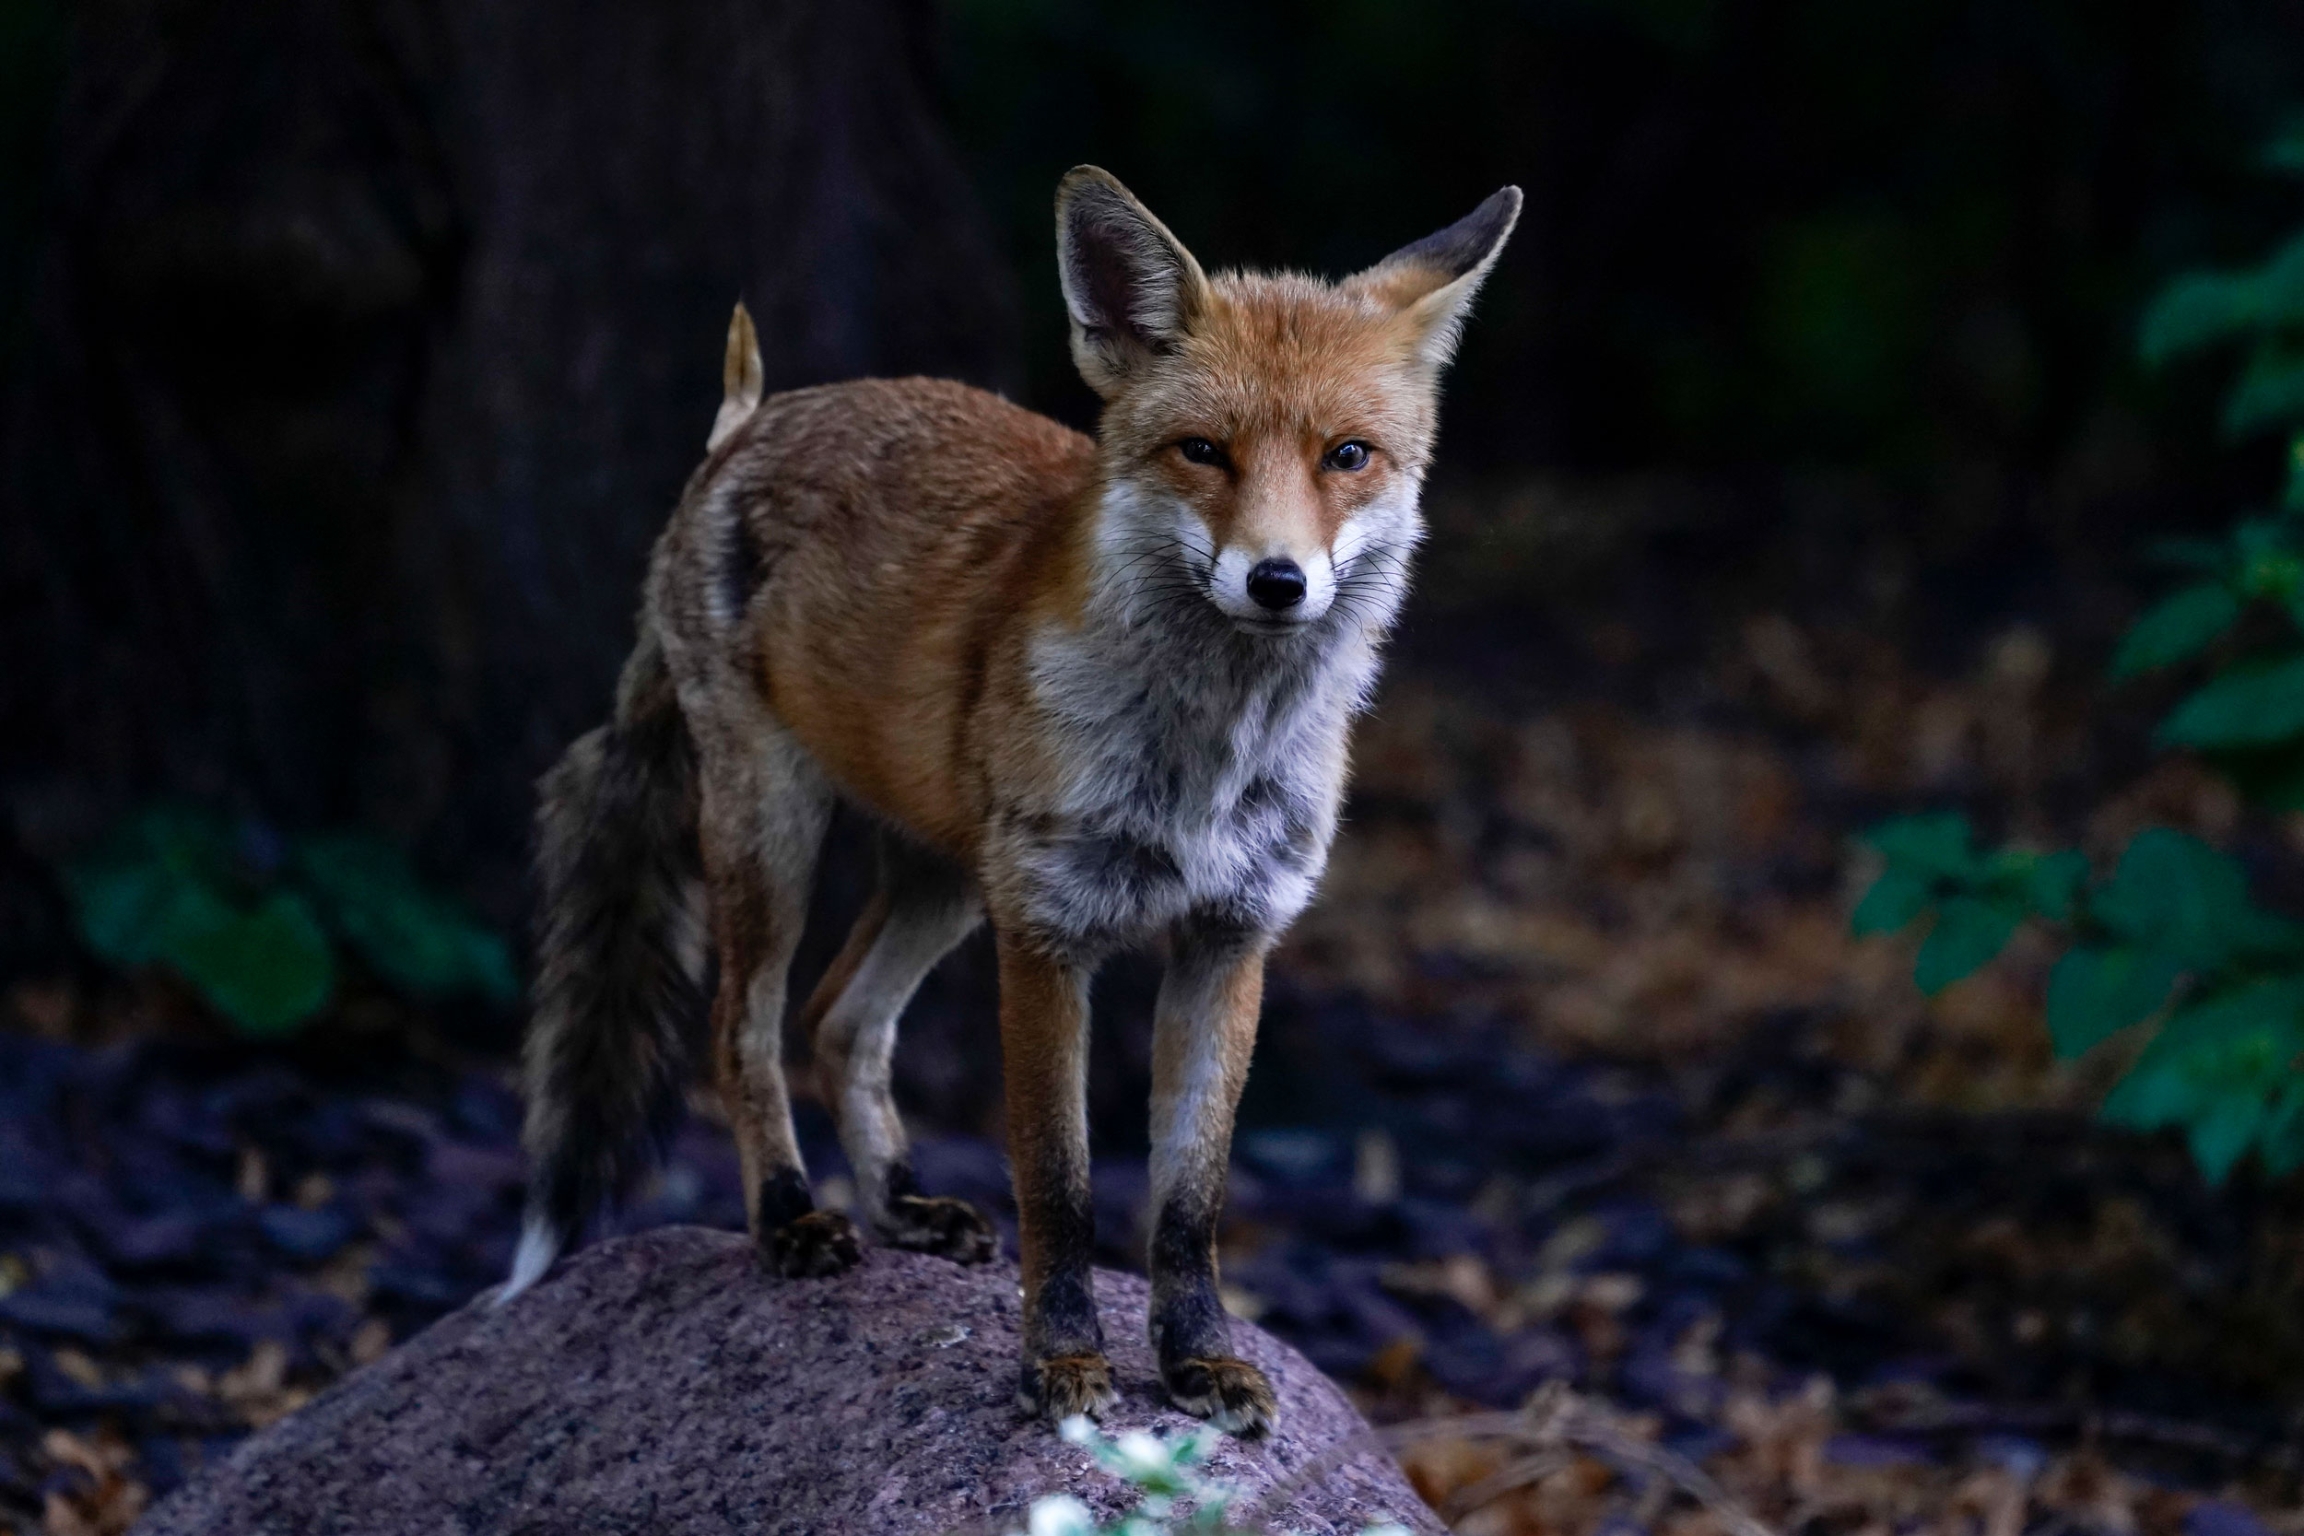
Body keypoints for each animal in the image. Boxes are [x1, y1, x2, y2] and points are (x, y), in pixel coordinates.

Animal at [500, 166, 1519, 1437]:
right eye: (1203, 450)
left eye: (1348, 455)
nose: (1279, 581)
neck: (1205, 759)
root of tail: (753, 421)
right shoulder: (1048, 935)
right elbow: (1059, 1182)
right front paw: (1066, 1363)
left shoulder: (1230, 941)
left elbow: (1191, 1202)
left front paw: (1199, 1359)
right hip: (773, 831)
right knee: (746, 1029)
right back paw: (791, 1216)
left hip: (943, 874)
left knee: (842, 1018)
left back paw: (900, 1206)